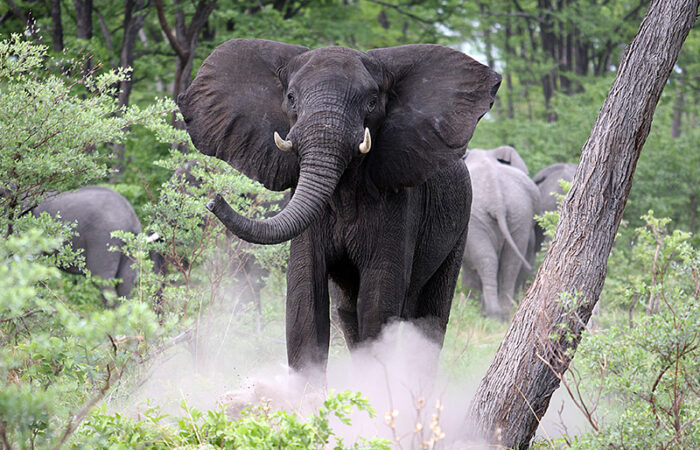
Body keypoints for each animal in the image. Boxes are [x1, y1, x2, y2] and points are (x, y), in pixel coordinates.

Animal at [178, 39, 500, 376]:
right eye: (291, 98)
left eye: (372, 102)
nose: (214, 199)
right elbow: (305, 299)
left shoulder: (399, 201)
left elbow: (378, 301)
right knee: (348, 314)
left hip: (462, 223)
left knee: (428, 319)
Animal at [462, 149, 540, 318]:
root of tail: (497, 200)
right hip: (520, 213)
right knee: (510, 263)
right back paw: (504, 313)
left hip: (476, 218)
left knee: (487, 259)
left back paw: (492, 314)